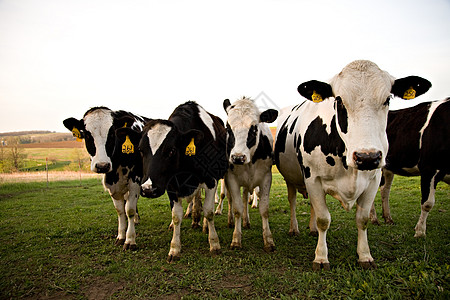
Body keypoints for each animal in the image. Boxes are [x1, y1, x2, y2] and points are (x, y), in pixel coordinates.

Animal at [62, 106, 149, 250]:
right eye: (87, 135)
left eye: (112, 134)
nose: (102, 166)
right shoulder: (111, 184)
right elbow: (120, 210)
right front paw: (121, 236)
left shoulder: (135, 180)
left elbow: (129, 209)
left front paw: (130, 240)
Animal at [136, 102, 229, 262]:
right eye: (141, 150)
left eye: (171, 151)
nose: (148, 189)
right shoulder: (171, 185)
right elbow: (176, 216)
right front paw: (174, 248)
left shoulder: (211, 180)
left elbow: (209, 211)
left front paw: (214, 243)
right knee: (195, 198)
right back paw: (194, 218)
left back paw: (203, 224)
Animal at [222, 97, 278, 252]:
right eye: (228, 127)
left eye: (254, 128)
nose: (237, 158)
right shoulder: (232, 179)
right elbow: (237, 209)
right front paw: (236, 239)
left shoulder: (266, 178)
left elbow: (264, 209)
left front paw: (268, 240)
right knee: (230, 199)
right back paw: (230, 221)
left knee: (246, 194)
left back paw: (246, 221)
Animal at [274, 59, 432, 270]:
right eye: (339, 100)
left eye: (387, 100)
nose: (367, 157)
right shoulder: (312, 178)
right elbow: (324, 219)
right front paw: (321, 257)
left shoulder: (374, 179)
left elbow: (362, 219)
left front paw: (365, 256)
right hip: (291, 178)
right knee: (292, 200)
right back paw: (294, 229)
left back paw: (312, 229)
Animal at [370, 98, 450, 237]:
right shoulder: (428, 168)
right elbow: (427, 203)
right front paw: (420, 231)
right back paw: (374, 219)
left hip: (387, 167)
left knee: (384, 189)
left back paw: (388, 218)